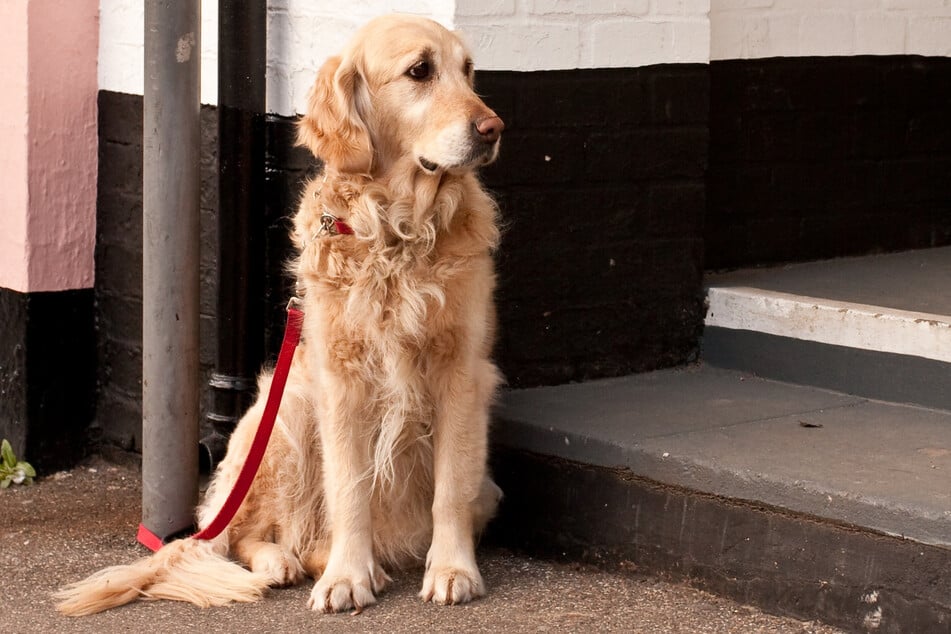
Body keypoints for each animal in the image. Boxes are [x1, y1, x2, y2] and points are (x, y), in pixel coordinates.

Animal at [54, 14, 506, 616]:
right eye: (420, 71)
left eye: (469, 70)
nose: (493, 128)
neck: (396, 232)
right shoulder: (339, 384)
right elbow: (349, 489)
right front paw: (347, 576)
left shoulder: (462, 375)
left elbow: (451, 487)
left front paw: (452, 569)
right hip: (285, 409)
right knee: (247, 534)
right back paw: (285, 562)